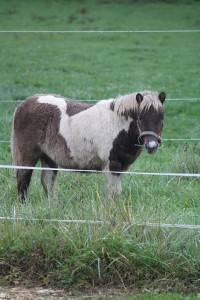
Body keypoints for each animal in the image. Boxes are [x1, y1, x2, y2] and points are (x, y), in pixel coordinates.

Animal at [11, 89, 166, 202]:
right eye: (140, 117)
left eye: (161, 117)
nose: (152, 146)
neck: (117, 124)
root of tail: (23, 104)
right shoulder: (111, 166)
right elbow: (112, 193)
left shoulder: (120, 167)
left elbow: (116, 192)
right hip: (27, 157)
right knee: (23, 181)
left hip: (48, 158)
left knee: (48, 182)